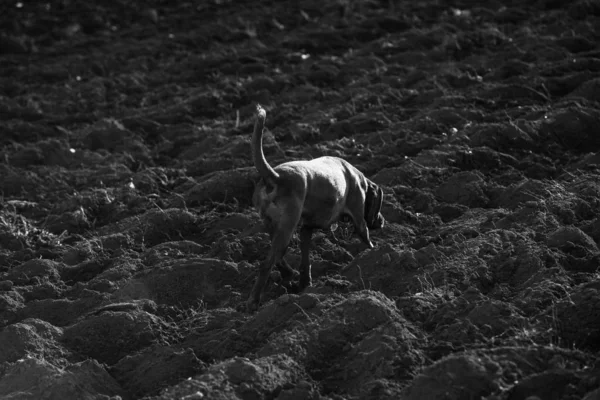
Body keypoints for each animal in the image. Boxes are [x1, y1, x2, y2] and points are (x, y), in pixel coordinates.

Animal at [247, 105, 384, 312]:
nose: (382, 221)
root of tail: (275, 176)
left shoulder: (306, 229)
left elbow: (305, 260)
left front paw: (305, 283)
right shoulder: (359, 218)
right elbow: (366, 238)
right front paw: (374, 253)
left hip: (273, 226)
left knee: (278, 258)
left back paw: (289, 275)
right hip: (287, 226)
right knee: (266, 264)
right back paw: (254, 300)